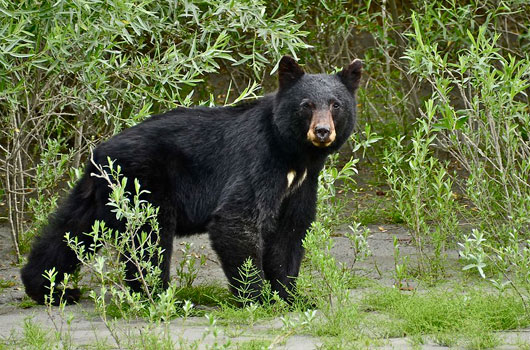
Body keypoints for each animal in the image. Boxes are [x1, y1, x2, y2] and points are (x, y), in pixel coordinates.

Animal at [20, 56, 358, 304]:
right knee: (149, 238)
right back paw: (156, 295)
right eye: (307, 105)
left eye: (335, 104)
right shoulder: (259, 161)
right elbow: (236, 219)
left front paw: (292, 297)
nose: (322, 131)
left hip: (100, 192)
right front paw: (257, 296)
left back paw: (48, 288)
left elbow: (291, 231)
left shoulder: (302, 184)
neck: (294, 154)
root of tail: (100, 153)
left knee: (71, 230)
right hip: (144, 184)